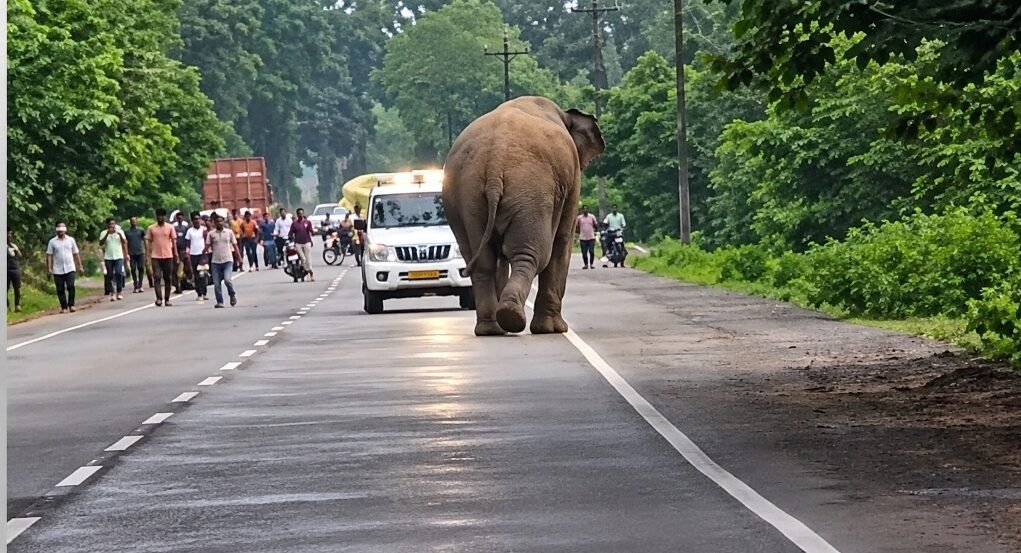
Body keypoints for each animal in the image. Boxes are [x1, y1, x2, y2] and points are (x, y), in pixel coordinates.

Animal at [443, 96, 605, 336]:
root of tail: (494, 161)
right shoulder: (572, 179)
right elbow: (562, 242)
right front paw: (555, 329)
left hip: (467, 196)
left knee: (482, 260)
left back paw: (492, 329)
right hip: (531, 192)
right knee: (533, 254)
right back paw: (514, 319)